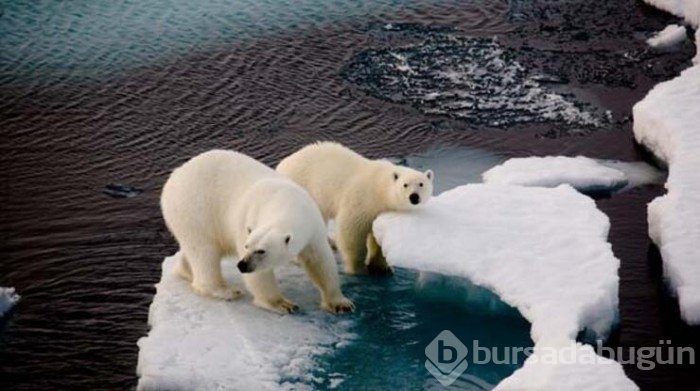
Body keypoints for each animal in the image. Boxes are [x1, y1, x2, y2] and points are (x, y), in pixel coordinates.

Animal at [161, 150, 352, 316]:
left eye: (261, 251)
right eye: (247, 246)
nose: (242, 265)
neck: (285, 201)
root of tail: (173, 178)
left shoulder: (312, 225)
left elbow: (320, 261)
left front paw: (340, 303)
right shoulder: (248, 218)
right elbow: (260, 277)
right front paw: (282, 304)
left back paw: (186, 271)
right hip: (195, 208)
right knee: (204, 252)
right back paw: (225, 291)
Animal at [278, 142, 432, 276]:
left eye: (421, 184)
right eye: (405, 185)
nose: (414, 197)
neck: (380, 188)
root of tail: (281, 165)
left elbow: (377, 236)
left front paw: (382, 268)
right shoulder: (362, 200)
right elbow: (352, 233)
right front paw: (358, 269)